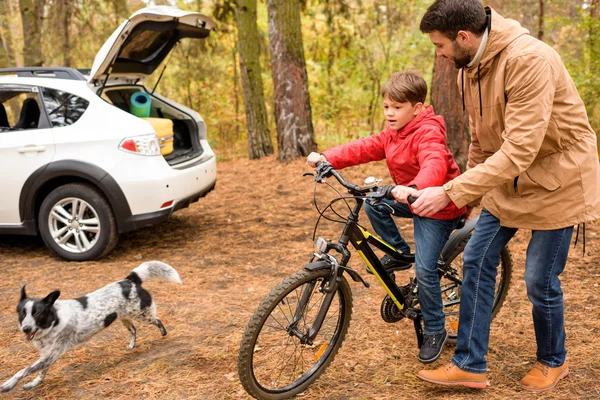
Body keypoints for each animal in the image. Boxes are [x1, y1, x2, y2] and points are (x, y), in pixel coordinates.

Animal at [0, 260, 180, 392]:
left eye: (37, 313)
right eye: (22, 313)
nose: (26, 328)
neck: (54, 320)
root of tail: (129, 280)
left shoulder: (51, 355)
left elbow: (23, 370)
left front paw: (8, 385)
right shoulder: (46, 357)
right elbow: (40, 373)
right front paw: (34, 383)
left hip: (143, 315)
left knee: (157, 320)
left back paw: (163, 332)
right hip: (124, 318)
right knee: (133, 330)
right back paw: (131, 345)